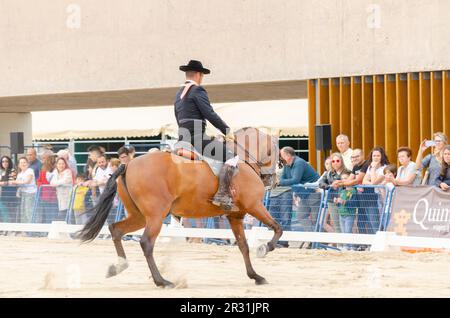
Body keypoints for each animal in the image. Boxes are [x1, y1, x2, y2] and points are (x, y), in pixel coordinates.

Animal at [76, 127, 282, 288]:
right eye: (276, 152)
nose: (274, 181)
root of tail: (128, 164)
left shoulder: (235, 216)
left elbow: (243, 246)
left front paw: (256, 276)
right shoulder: (255, 206)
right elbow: (277, 228)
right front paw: (265, 248)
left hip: (140, 216)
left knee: (116, 230)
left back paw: (118, 267)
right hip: (156, 216)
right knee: (146, 243)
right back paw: (162, 281)